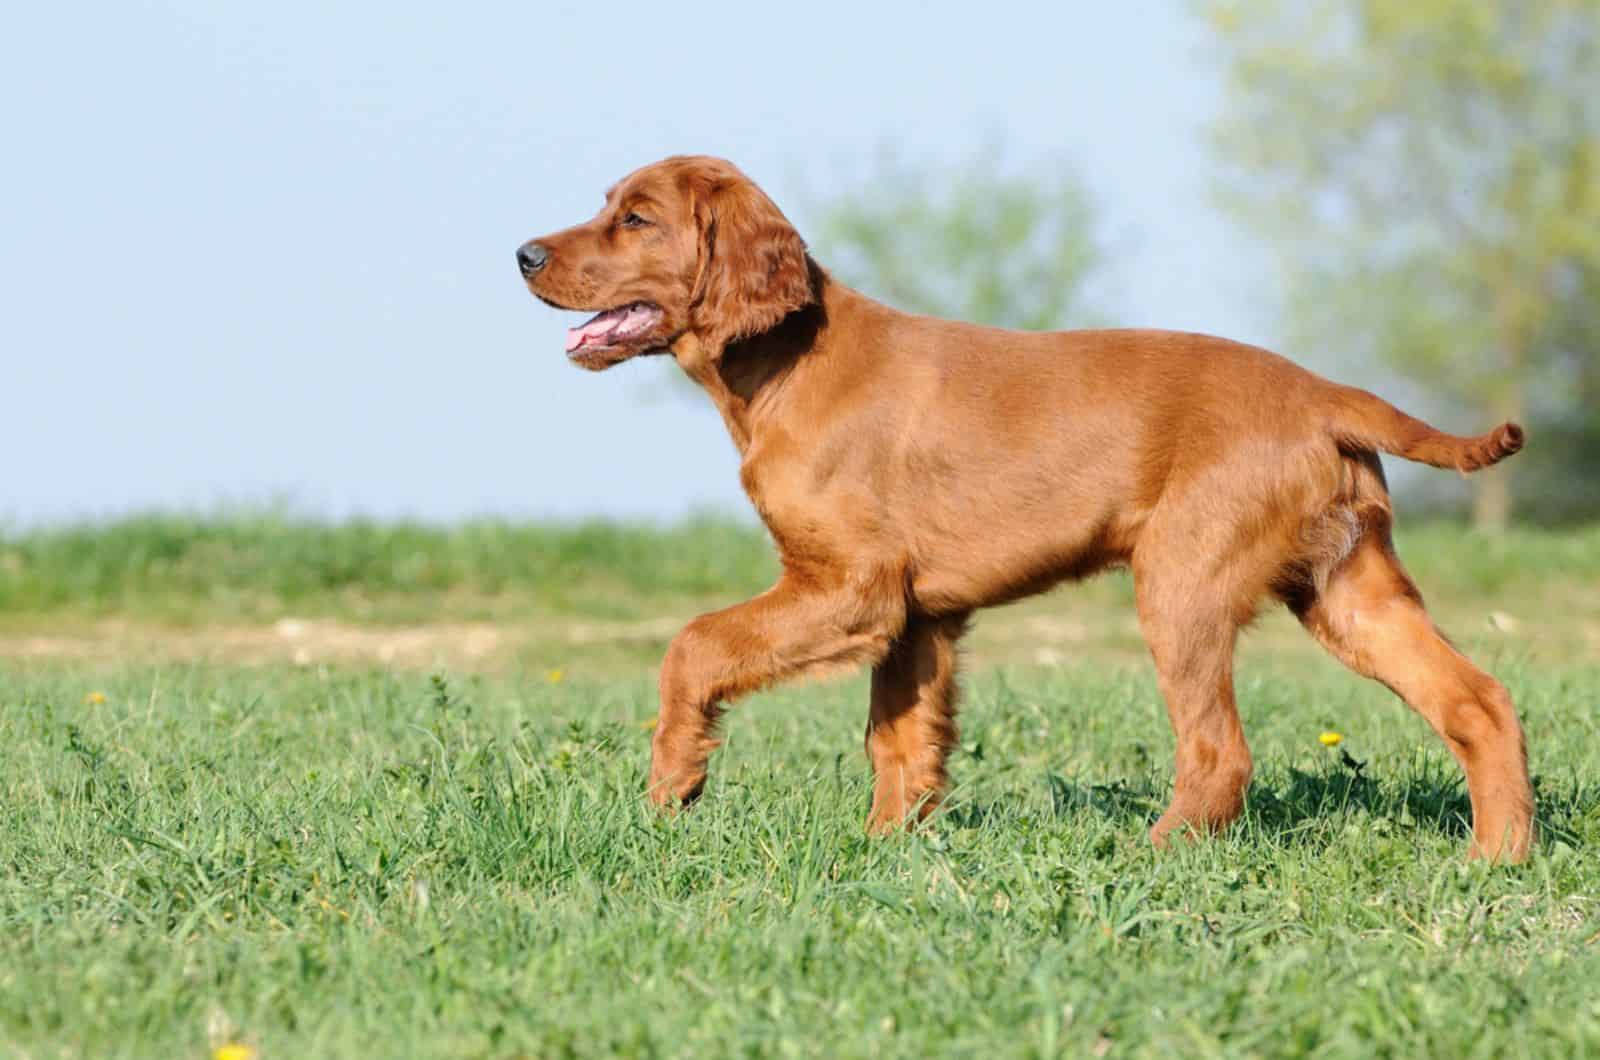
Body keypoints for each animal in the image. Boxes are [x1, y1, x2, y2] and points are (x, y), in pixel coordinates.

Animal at [518, 153, 1529, 864]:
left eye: (637, 218)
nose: (522, 252)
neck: (784, 363)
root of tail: (1327, 394)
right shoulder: (915, 617)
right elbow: (899, 741)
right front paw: (886, 850)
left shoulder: (851, 586)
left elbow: (693, 645)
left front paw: (671, 788)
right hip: (1348, 587)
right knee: (1479, 701)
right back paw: (1497, 857)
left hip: (1183, 581)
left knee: (1219, 750)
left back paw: (1154, 856)